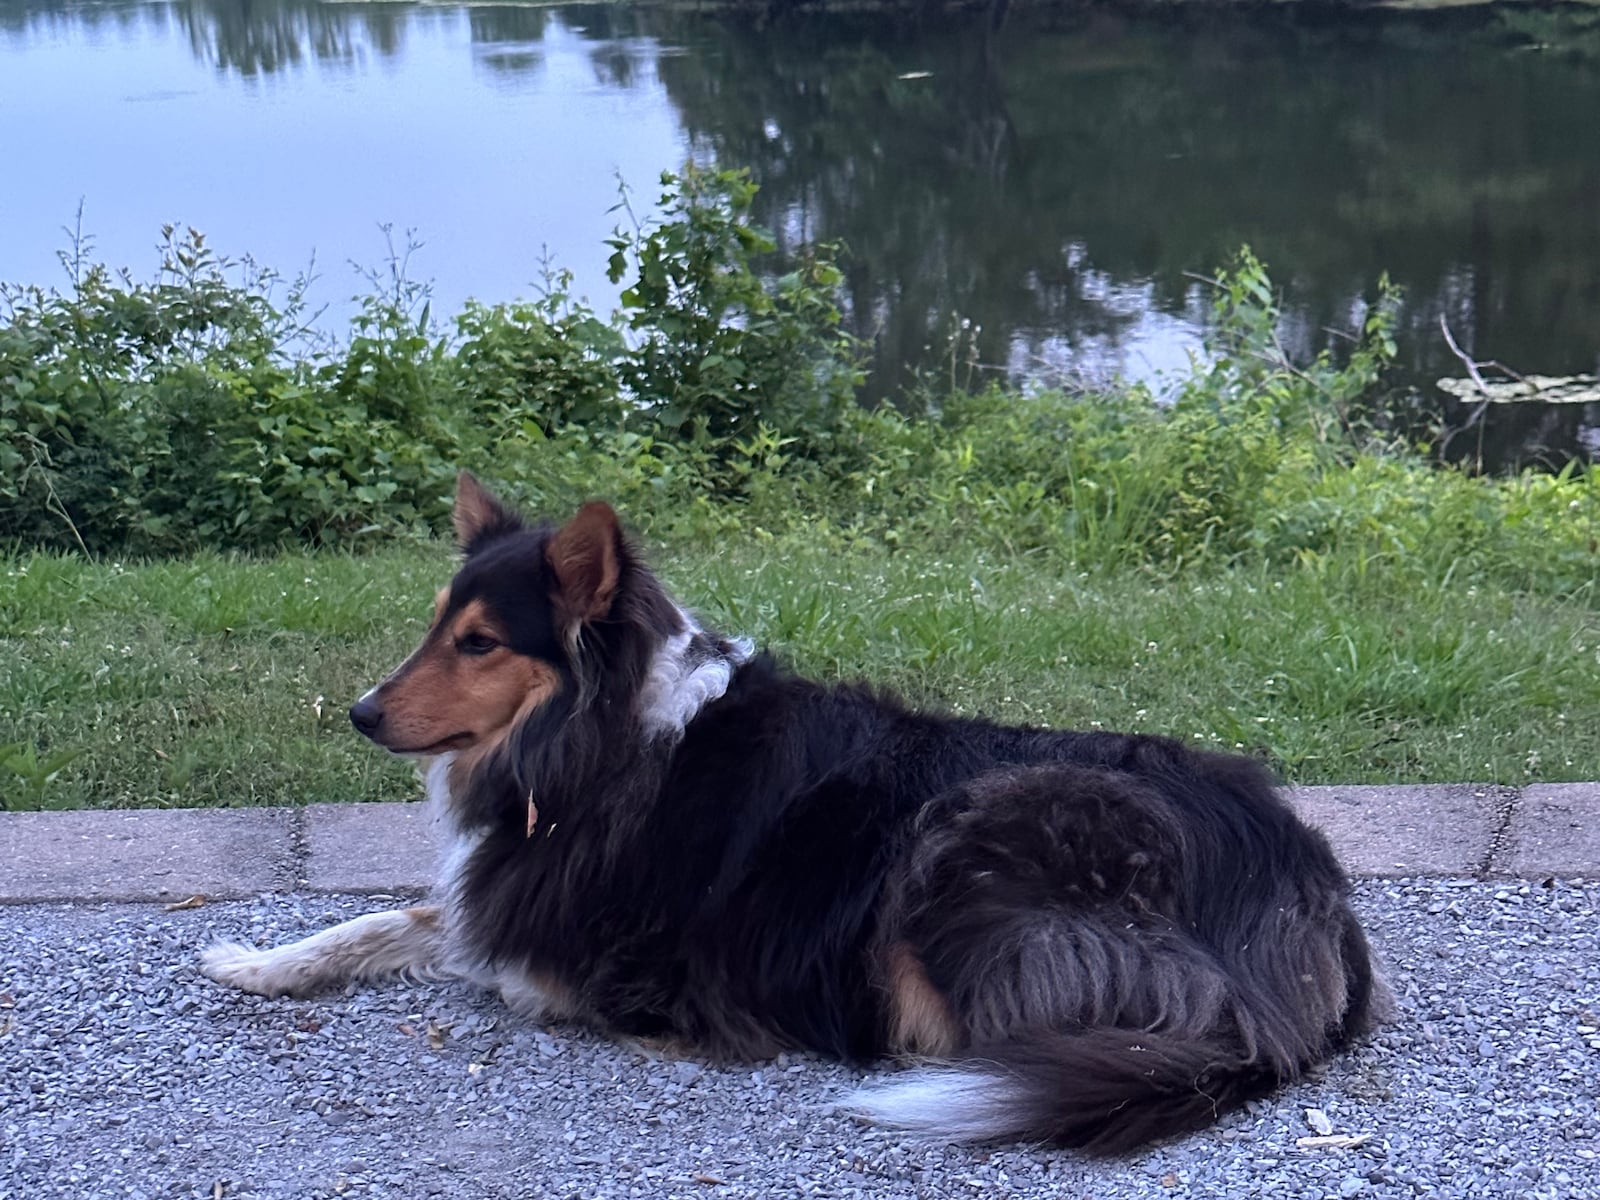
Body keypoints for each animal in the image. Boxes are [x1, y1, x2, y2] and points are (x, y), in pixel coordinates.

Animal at [203, 473, 1376, 1158]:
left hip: (968, 841)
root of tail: (1297, 888)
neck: (603, 742)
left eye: (481, 642)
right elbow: (395, 919)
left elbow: (482, 950)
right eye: (436, 624)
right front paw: (258, 962)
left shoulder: (575, 955)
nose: (361, 713)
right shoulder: (498, 895)